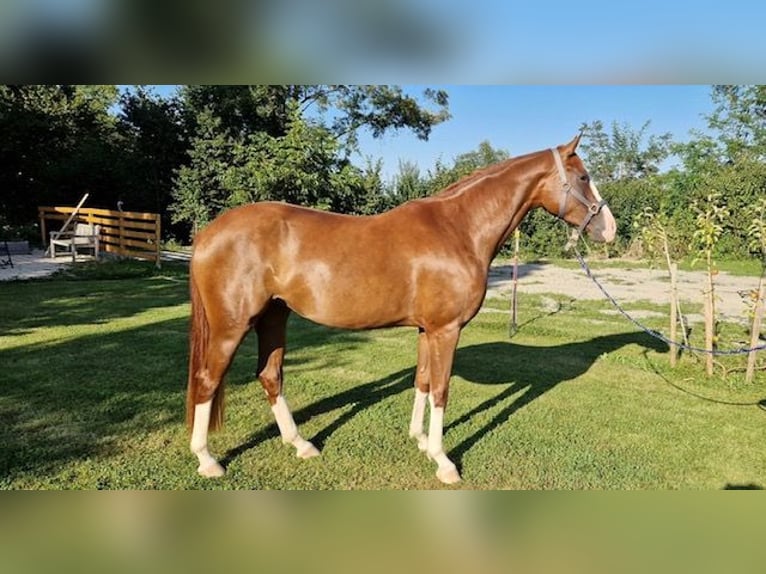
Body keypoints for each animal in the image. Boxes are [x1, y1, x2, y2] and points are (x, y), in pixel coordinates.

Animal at [184, 136, 616, 486]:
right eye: (583, 177)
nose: (608, 228)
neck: (459, 229)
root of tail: (207, 233)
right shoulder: (446, 330)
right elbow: (441, 389)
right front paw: (444, 462)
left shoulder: (428, 330)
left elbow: (422, 381)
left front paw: (421, 441)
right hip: (232, 325)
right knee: (207, 379)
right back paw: (207, 460)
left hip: (275, 316)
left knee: (269, 375)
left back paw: (301, 444)